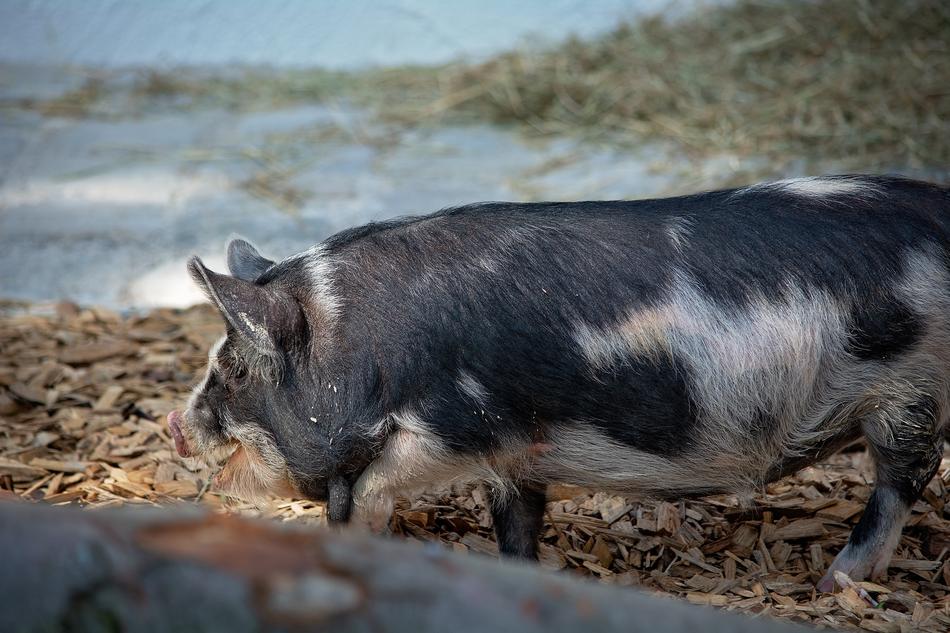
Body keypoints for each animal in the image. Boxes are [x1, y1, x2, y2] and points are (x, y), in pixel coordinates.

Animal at [167, 175, 949, 592]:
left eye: (236, 367)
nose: (177, 424)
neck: (369, 352)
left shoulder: (462, 424)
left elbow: (374, 484)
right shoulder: (519, 451)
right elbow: (517, 518)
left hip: (906, 395)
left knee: (904, 478)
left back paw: (835, 582)